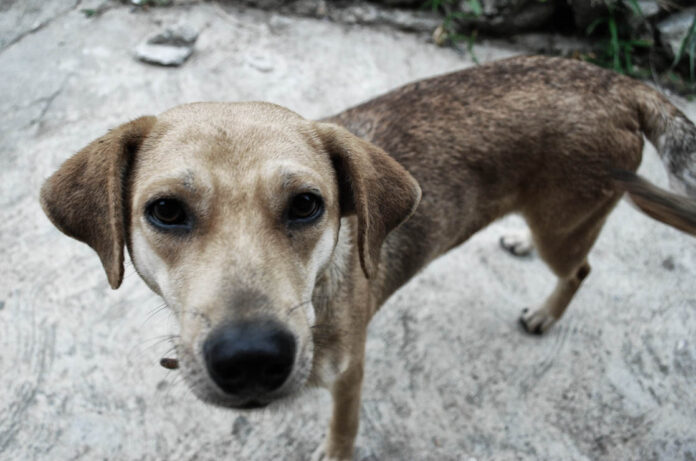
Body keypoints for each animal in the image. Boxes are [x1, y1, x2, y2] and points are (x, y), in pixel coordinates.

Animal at [40, 55, 696, 458]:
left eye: (308, 205)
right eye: (166, 211)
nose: (250, 359)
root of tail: (621, 83)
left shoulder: (350, 370)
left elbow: (344, 425)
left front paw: (334, 450)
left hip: (568, 226)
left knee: (580, 268)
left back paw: (545, 312)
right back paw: (519, 241)